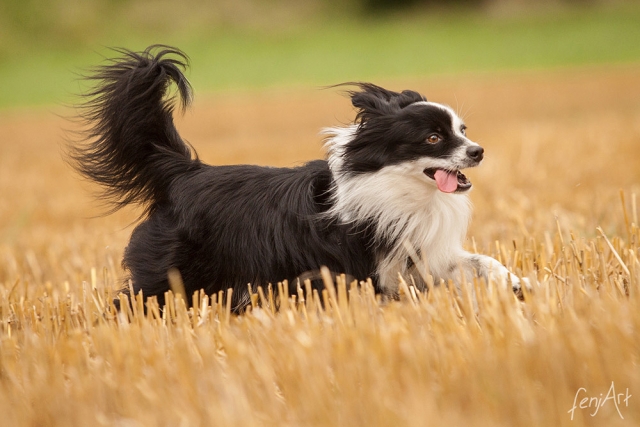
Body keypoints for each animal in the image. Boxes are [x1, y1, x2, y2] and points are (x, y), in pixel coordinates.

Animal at [71, 45, 520, 310]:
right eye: (433, 138)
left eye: (463, 130)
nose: (478, 151)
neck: (401, 188)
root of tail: (185, 173)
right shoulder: (358, 266)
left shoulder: (421, 255)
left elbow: (481, 261)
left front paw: (517, 284)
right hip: (170, 276)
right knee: (136, 302)